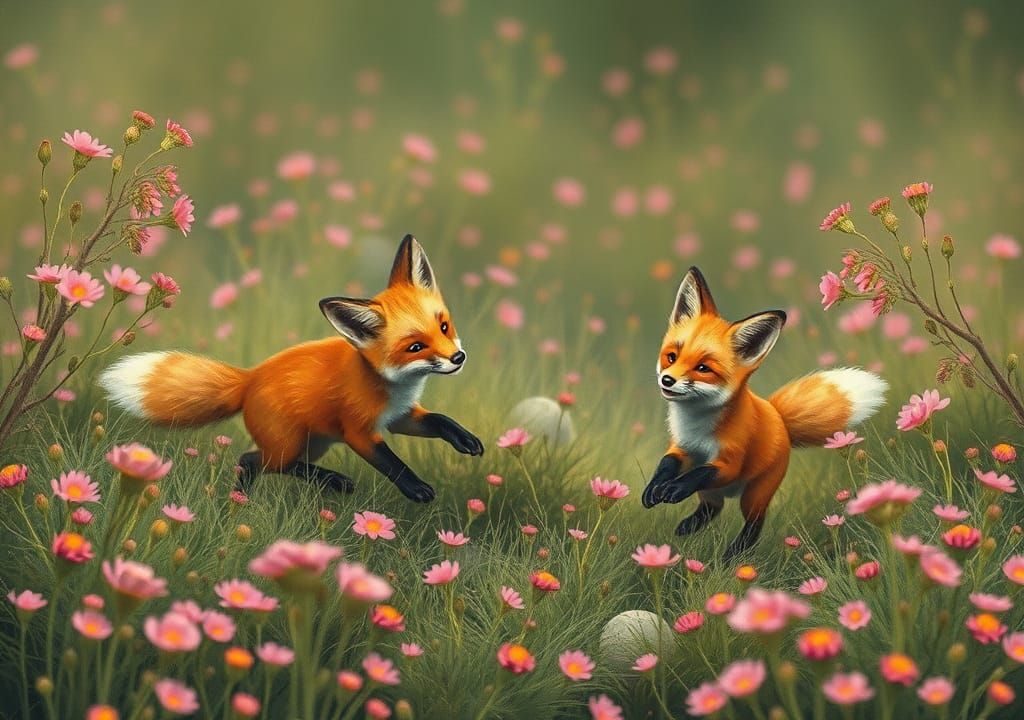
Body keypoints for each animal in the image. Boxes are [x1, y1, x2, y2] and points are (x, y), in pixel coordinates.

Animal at [98, 234, 484, 502]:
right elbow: (391, 462)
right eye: (415, 347)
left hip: (314, 443)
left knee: (259, 460)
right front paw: (416, 488)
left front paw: (465, 439)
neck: (392, 385)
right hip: (293, 443)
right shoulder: (359, 432)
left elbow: (439, 420)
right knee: (256, 461)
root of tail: (249, 378)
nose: (458, 358)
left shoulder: (400, 416)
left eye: (444, 327)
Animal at [641, 267, 887, 559]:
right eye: (671, 357)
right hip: (713, 493)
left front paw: (675, 487)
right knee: (713, 508)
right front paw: (653, 489)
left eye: (703, 368)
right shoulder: (683, 447)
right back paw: (688, 527)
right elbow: (667, 464)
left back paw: (731, 557)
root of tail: (778, 416)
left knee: (753, 525)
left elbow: (699, 473)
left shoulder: (729, 463)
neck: (698, 427)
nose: (667, 380)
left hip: (755, 494)